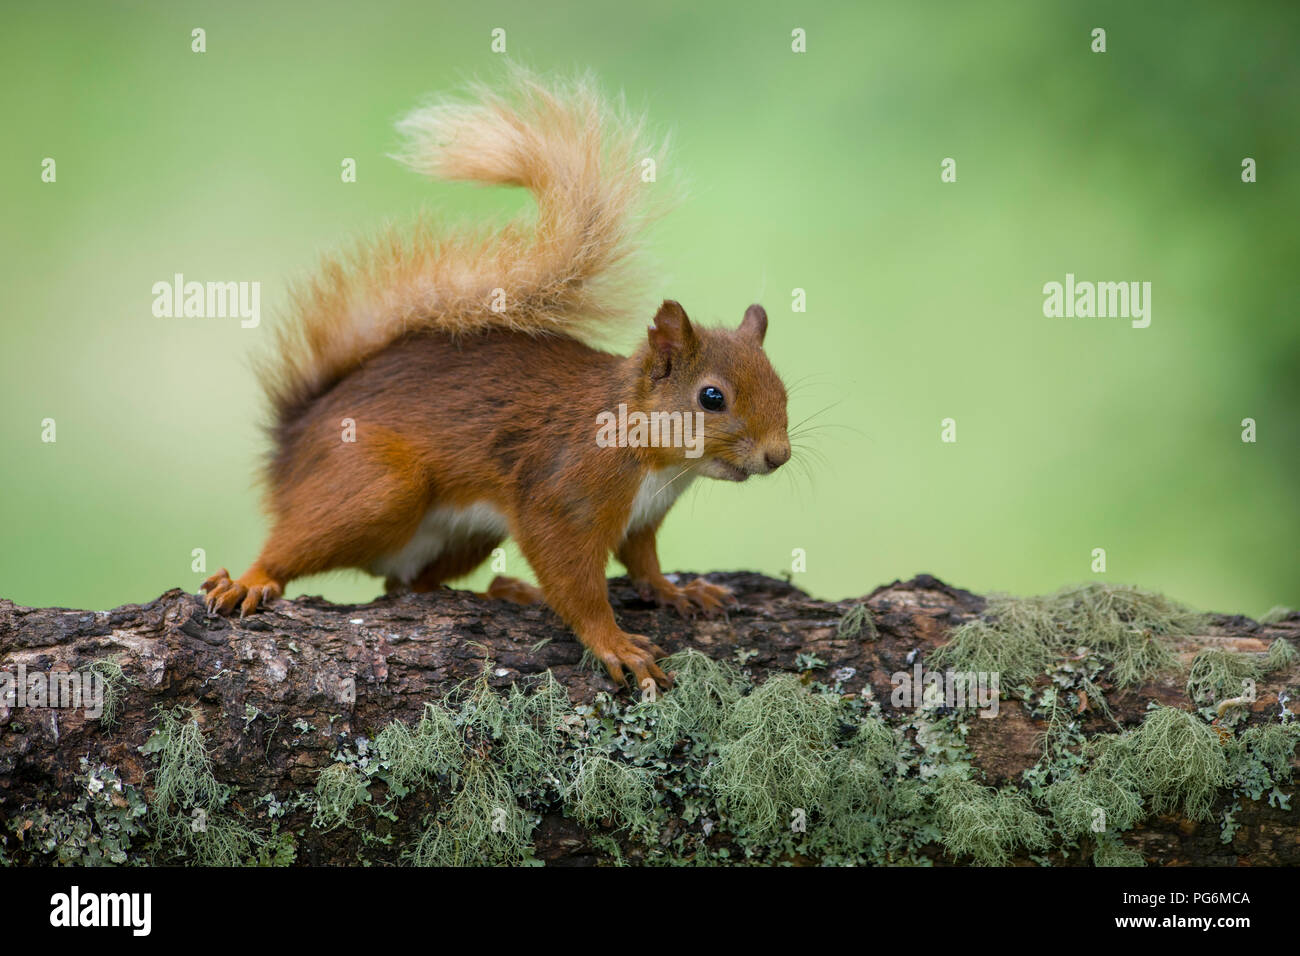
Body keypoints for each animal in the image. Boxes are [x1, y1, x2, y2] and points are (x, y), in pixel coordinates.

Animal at [202, 70, 790, 691]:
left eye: (783, 389)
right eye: (711, 397)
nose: (778, 456)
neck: (655, 458)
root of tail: (291, 443)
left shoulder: (642, 520)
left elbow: (645, 563)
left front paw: (677, 592)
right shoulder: (563, 495)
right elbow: (575, 582)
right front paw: (614, 642)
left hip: (466, 535)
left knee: (406, 585)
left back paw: (503, 591)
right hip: (375, 485)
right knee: (300, 545)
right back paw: (250, 579)